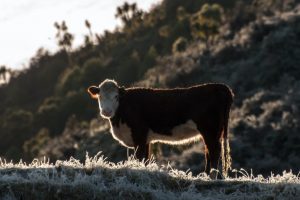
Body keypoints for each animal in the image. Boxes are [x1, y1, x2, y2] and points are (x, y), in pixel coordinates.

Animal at [88, 79, 233, 177]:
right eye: (100, 96)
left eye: (116, 96)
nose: (106, 111)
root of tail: (219, 86)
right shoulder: (146, 139)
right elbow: (146, 159)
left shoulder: (139, 135)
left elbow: (139, 157)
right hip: (212, 132)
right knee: (209, 152)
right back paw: (205, 176)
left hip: (210, 130)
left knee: (214, 152)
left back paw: (210, 177)